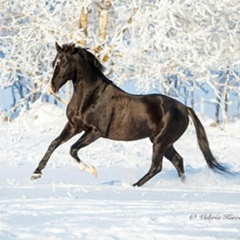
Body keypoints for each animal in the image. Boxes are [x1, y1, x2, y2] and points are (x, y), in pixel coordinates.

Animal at [31, 42, 227, 187]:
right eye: (54, 62)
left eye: (63, 63)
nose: (52, 87)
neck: (90, 96)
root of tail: (184, 107)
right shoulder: (74, 126)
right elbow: (54, 144)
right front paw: (36, 173)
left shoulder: (95, 132)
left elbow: (72, 149)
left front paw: (92, 171)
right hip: (164, 142)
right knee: (178, 161)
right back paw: (182, 185)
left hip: (161, 141)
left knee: (157, 166)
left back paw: (132, 186)